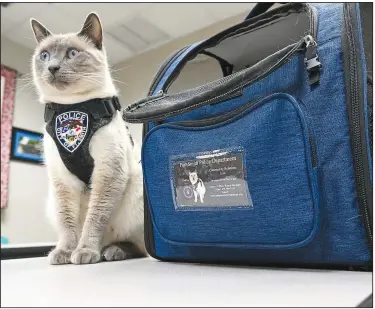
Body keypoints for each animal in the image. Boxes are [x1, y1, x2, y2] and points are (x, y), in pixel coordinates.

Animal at [30, 11, 148, 262]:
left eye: (72, 54)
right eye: (44, 55)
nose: (52, 67)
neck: (72, 107)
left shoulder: (108, 171)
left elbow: (96, 218)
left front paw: (84, 251)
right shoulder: (62, 180)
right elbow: (67, 224)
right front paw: (65, 252)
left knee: (137, 245)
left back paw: (110, 251)